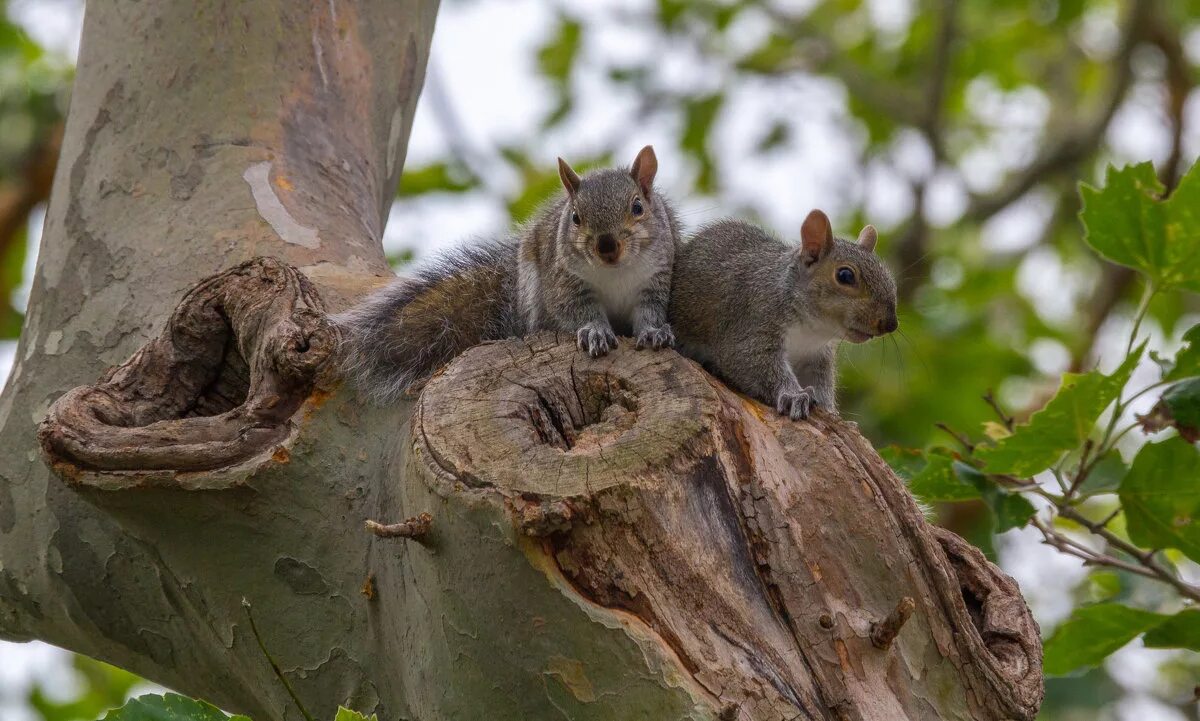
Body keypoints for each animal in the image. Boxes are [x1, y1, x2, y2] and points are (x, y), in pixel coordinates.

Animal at [333, 146, 681, 403]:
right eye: (575, 218)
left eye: (638, 207)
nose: (607, 248)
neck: (615, 272)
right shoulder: (564, 284)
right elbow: (577, 311)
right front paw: (594, 331)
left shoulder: (657, 280)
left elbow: (650, 310)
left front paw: (654, 332)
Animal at [672, 207, 897, 419]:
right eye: (845, 275)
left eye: (889, 278)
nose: (890, 324)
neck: (811, 330)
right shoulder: (754, 320)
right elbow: (749, 359)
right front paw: (793, 396)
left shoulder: (816, 357)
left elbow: (820, 383)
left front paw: (830, 410)